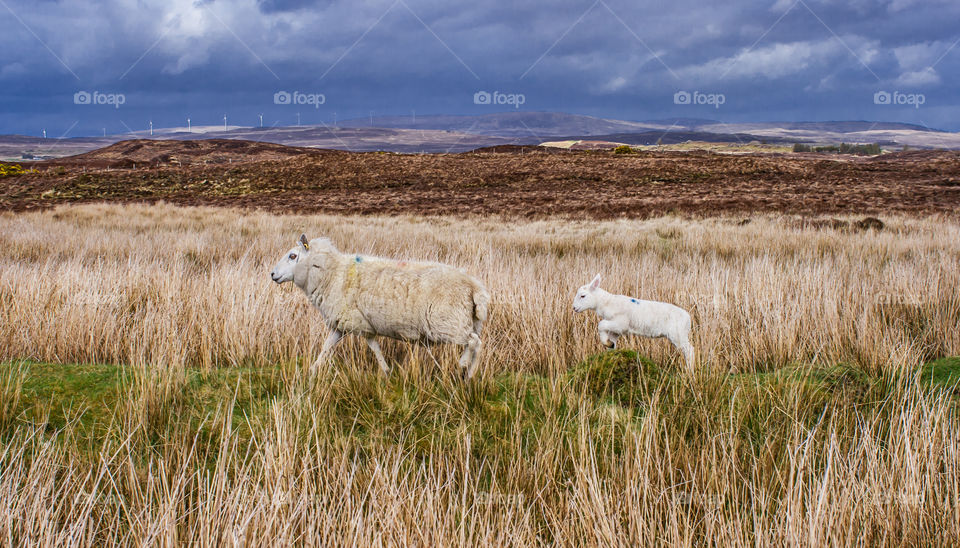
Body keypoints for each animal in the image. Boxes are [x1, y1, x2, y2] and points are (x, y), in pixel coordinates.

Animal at [272, 233, 492, 378]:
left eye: (293, 256)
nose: (272, 275)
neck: (332, 273)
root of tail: (474, 286)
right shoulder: (347, 324)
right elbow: (330, 348)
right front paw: (312, 371)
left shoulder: (357, 322)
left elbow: (372, 347)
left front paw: (385, 370)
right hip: (469, 322)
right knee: (475, 343)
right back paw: (469, 373)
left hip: (448, 323)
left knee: (474, 342)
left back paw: (466, 367)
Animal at [568, 274, 696, 372]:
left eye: (583, 296)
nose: (574, 308)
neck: (606, 302)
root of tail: (688, 318)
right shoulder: (617, 329)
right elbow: (611, 338)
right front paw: (610, 345)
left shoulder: (621, 323)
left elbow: (601, 325)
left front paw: (607, 343)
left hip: (678, 334)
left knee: (689, 350)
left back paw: (689, 371)